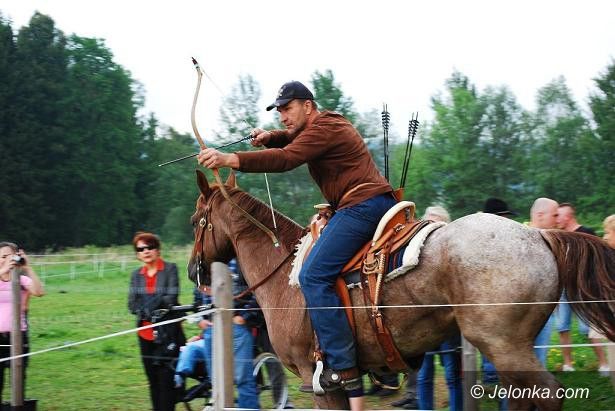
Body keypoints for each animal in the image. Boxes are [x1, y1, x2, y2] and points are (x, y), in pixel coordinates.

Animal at [188, 170, 615, 410]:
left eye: (196, 221)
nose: (194, 271)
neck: (285, 278)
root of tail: (539, 234)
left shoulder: (320, 380)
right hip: (508, 350)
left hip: (503, 344)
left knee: (548, 395)